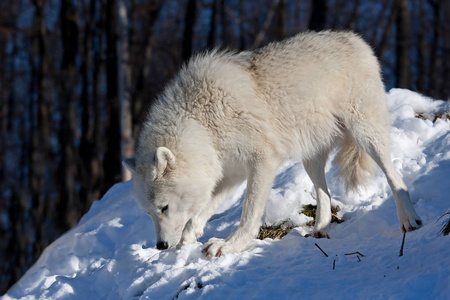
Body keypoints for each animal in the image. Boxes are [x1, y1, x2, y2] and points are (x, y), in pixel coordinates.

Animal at [123, 31, 422, 258]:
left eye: (164, 208)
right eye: (149, 213)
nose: (161, 246)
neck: (202, 121)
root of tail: (356, 39)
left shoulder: (261, 161)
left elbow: (249, 213)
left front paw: (230, 246)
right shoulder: (228, 172)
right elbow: (202, 211)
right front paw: (188, 240)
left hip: (366, 135)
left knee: (393, 174)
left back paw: (409, 219)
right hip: (310, 157)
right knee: (323, 193)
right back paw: (320, 229)